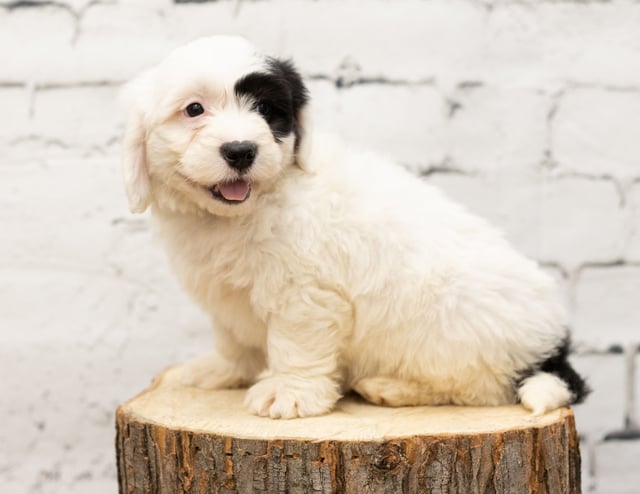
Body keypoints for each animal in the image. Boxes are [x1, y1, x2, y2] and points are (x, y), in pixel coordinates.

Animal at [121, 36, 592, 418]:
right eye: (194, 109)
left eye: (267, 111)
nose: (240, 150)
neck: (246, 210)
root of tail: (553, 346)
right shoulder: (226, 296)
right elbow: (235, 338)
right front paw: (224, 369)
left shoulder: (305, 293)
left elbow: (295, 343)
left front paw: (289, 393)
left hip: (453, 331)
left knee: (482, 388)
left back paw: (392, 388)